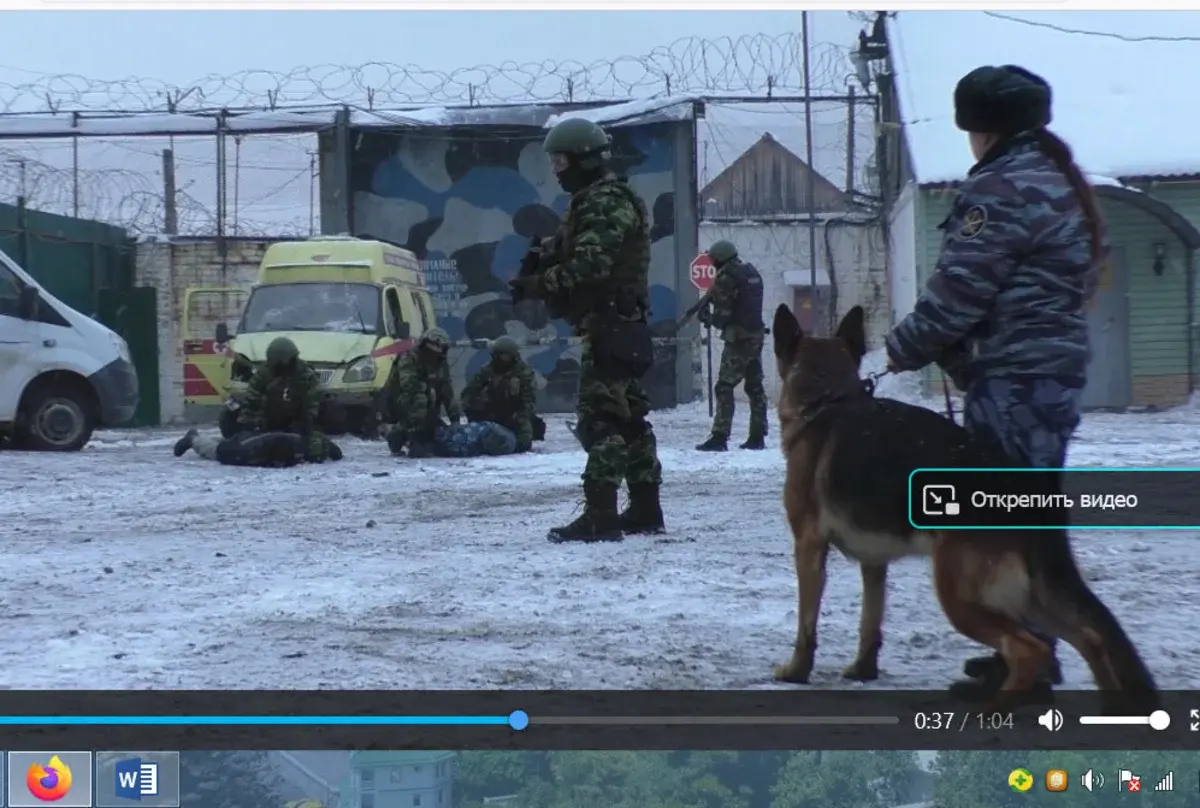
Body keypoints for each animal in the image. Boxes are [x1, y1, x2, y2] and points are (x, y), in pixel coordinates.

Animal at [772, 303, 1156, 710]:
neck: (828, 400)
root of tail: (1026, 491)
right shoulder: (874, 562)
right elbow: (870, 621)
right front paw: (864, 670)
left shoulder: (808, 547)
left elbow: (807, 623)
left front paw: (796, 671)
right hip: (1029, 596)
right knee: (1088, 638)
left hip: (961, 595)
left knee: (1029, 649)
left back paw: (995, 707)